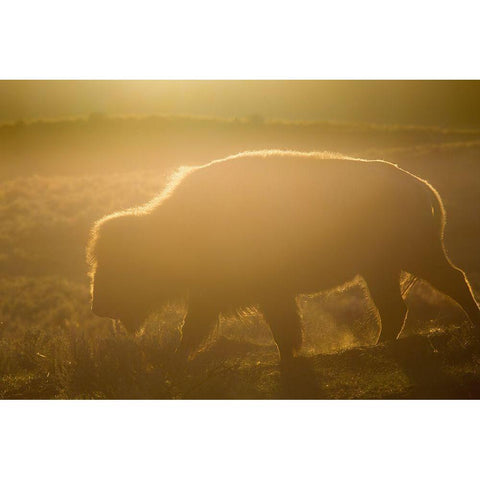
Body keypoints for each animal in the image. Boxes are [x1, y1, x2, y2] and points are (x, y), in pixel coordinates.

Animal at [86, 150, 480, 360]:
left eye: (122, 264)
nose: (98, 305)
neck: (174, 228)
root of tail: (420, 185)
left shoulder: (263, 292)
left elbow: (276, 326)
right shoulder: (218, 295)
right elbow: (199, 328)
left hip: (410, 258)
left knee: (448, 283)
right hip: (381, 269)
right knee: (398, 305)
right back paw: (379, 345)